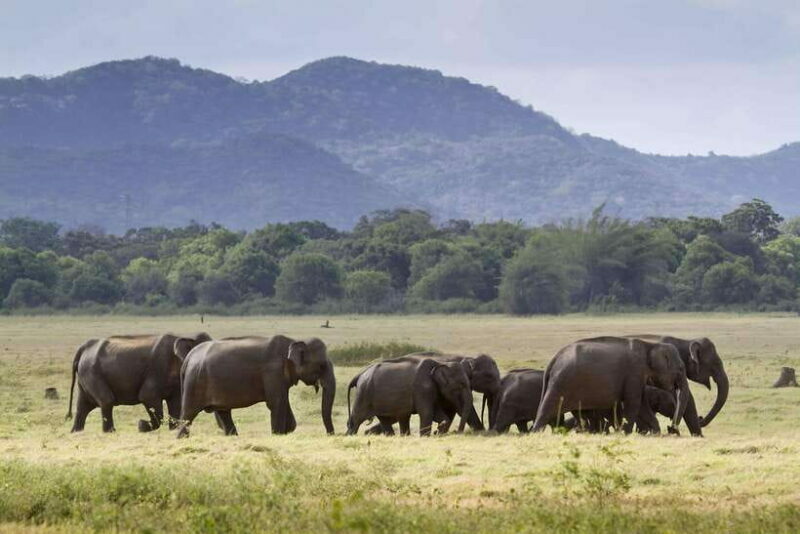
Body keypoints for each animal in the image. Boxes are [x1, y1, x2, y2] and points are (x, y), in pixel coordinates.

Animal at [66, 332, 212, 433]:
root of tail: (84, 348)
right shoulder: (157, 370)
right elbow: (147, 397)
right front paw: (141, 425)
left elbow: (175, 404)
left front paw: (172, 429)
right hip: (92, 373)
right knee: (106, 401)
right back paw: (110, 432)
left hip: (86, 376)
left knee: (83, 407)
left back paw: (76, 432)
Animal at [176, 335, 335, 437]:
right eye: (321, 366)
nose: (331, 435)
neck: (293, 341)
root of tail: (188, 357)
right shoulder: (273, 372)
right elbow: (276, 403)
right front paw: (277, 435)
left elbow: (283, 402)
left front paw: (286, 431)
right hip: (194, 383)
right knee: (188, 416)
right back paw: (182, 439)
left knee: (223, 412)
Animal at [531, 336, 690, 434]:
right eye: (681, 368)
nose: (671, 429)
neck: (650, 345)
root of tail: (554, 359)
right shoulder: (634, 373)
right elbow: (634, 404)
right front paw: (626, 433)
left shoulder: (638, 378)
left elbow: (643, 405)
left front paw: (656, 433)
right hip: (560, 383)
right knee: (546, 410)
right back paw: (535, 434)